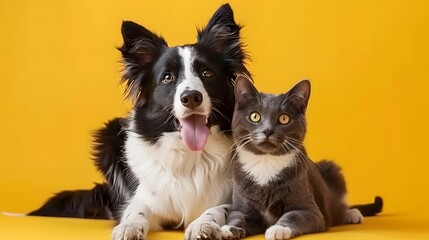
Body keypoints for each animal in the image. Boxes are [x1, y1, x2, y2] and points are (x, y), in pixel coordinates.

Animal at [222, 77, 380, 240]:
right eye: (255, 116)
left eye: (284, 118)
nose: (267, 130)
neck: (266, 162)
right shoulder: (242, 206)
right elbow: (237, 216)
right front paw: (228, 228)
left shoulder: (310, 210)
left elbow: (294, 215)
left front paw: (278, 228)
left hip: (331, 169)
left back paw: (352, 214)